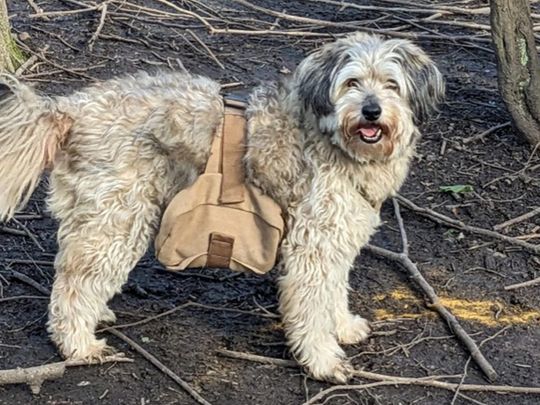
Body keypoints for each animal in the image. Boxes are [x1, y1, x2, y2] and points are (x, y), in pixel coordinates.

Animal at [0, 32, 442, 382]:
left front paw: (343, 326)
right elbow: (313, 303)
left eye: (391, 85)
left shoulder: (339, 236)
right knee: (74, 281)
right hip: (120, 217)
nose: (371, 111)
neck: (333, 138)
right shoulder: (313, 244)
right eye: (351, 83)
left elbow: (335, 290)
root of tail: (72, 108)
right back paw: (77, 343)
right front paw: (323, 361)